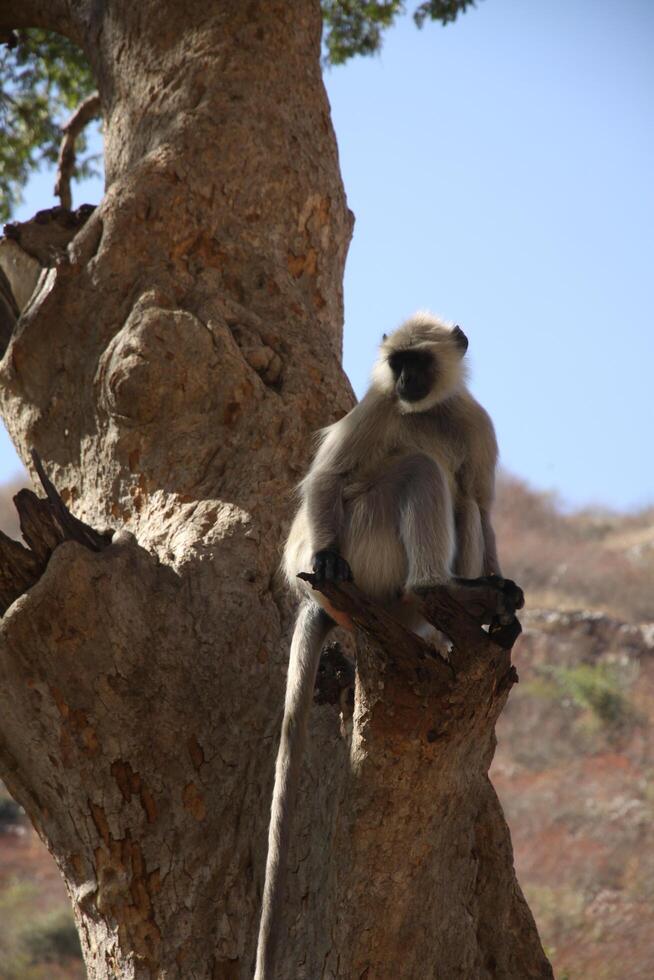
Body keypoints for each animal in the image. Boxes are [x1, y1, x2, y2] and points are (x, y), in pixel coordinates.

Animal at [256, 310, 516, 976]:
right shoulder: (374, 407)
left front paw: (500, 602)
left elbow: (482, 503)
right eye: (396, 364)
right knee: (416, 473)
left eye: (417, 362)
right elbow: (327, 478)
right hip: (365, 545)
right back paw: (431, 587)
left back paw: (473, 602)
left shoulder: (474, 422)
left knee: (461, 497)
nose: (404, 382)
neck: (426, 412)